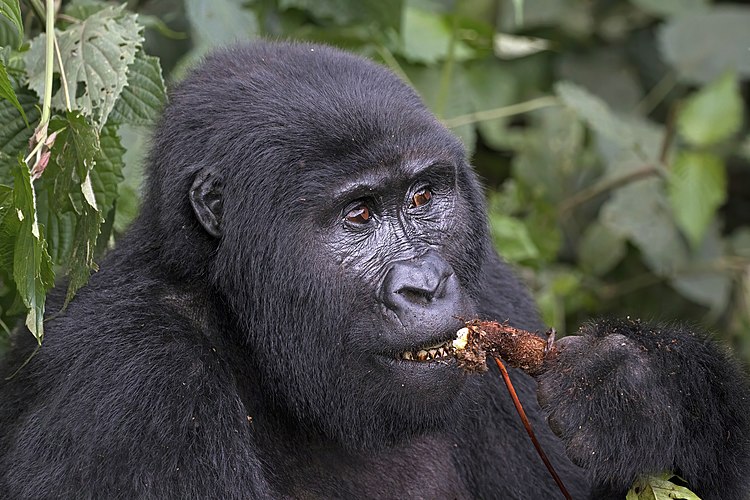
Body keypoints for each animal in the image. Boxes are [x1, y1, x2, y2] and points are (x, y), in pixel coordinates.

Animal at [1, 41, 750, 498]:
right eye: (358, 215)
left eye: (422, 198)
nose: (426, 284)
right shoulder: (138, 380)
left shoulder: (492, 287)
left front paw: (642, 385)